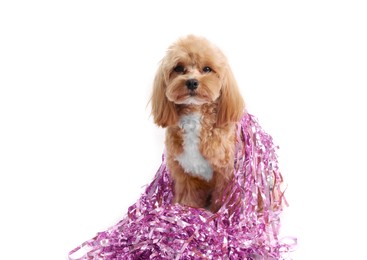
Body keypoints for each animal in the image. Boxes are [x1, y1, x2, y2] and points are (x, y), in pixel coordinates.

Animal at [150, 35, 244, 213]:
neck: (194, 117)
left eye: (207, 69)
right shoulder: (185, 172)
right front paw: (186, 209)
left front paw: (216, 213)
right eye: (179, 68)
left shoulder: (224, 173)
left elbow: (221, 198)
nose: (192, 82)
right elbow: (188, 195)